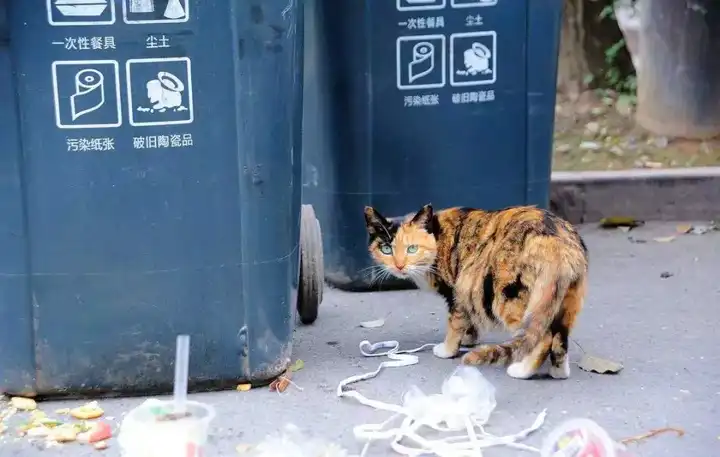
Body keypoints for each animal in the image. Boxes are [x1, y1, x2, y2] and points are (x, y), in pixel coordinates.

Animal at [362, 203, 588, 378]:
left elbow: (455, 323)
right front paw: (469, 338)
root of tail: (559, 241)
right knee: (560, 335)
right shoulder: (467, 290)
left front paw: (448, 349)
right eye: (386, 249)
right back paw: (559, 371)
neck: (438, 236)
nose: (399, 266)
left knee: (543, 336)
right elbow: (470, 318)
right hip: (565, 298)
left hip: (511, 296)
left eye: (412, 248)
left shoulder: (457, 289)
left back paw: (523, 370)